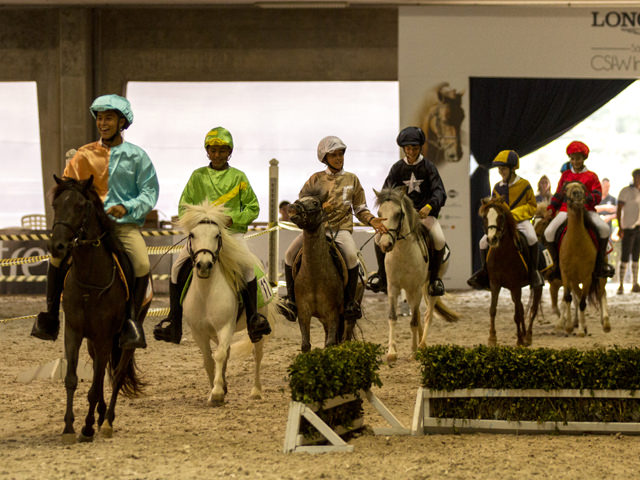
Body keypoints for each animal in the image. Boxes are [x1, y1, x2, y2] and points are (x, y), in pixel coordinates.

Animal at [49, 175, 144, 442]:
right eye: (55, 205)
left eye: (81, 206)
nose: (58, 247)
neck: (89, 282)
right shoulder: (73, 332)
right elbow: (72, 379)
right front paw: (69, 428)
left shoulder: (104, 336)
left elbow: (98, 384)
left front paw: (87, 427)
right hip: (94, 342)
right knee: (101, 375)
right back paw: (100, 416)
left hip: (123, 341)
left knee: (117, 375)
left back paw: (107, 422)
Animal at [179, 202, 276, 404]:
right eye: (192, 235)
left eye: (217, 235)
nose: (204, 265)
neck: (206, 293)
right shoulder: (198, 332)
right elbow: (209, 360)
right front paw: (217, 390)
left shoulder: (225, 326)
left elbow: (220, 355)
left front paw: (216, 392)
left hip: (256, 329)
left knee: (257, 355)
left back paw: (256, 391)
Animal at [372, 187, 458, 360]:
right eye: (379, 213)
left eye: (398, 213)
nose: (385, 244)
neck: (403, 252)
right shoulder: (393, 288)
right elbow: (393, 317)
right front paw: (392, 352)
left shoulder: (416, 289)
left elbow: (414, 321)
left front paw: (413, 352)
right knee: (418, 315)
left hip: (429, 288)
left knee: (427, 315)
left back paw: (422, 345)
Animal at [480, 197, 540, 346]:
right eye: (485, 217)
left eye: (501, 216)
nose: (492, 239)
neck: (502, 253)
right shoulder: (495, 284)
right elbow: (493, 309)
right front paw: (492, 338)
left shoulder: (515, 285)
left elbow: (517, 314)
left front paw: (519, 340)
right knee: (522, 308)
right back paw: (524, 334)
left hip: (536, 287)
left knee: (533, 309)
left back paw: (527, 337)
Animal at [556, 182, 608, 336]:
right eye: (566, 189)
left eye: (583, 188)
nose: (577, 194)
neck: (576, 243)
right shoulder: (566, 275)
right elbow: (569, 298)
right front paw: (569, 327)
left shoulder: (587, 277)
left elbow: (583, 302)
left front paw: (580, 331)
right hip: (574, 280)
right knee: (578, 297)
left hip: (600, 275)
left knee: (602, 293)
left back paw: (605, 323)